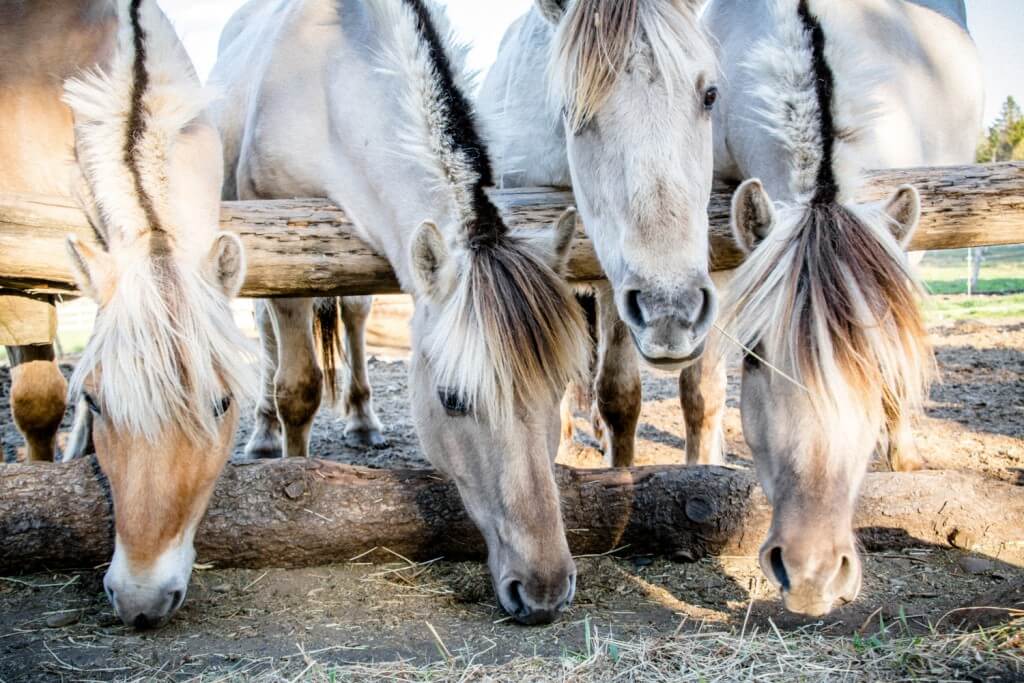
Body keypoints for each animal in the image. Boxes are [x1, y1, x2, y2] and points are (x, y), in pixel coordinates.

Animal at [210, 0, 588, 625]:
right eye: (453, 399)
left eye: (558, 389)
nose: (544, 591)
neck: (329, 80)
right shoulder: (280, 246)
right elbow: (298, 388)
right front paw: (290, 482)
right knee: (265, 336)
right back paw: (263, 434)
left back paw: (363, 421)